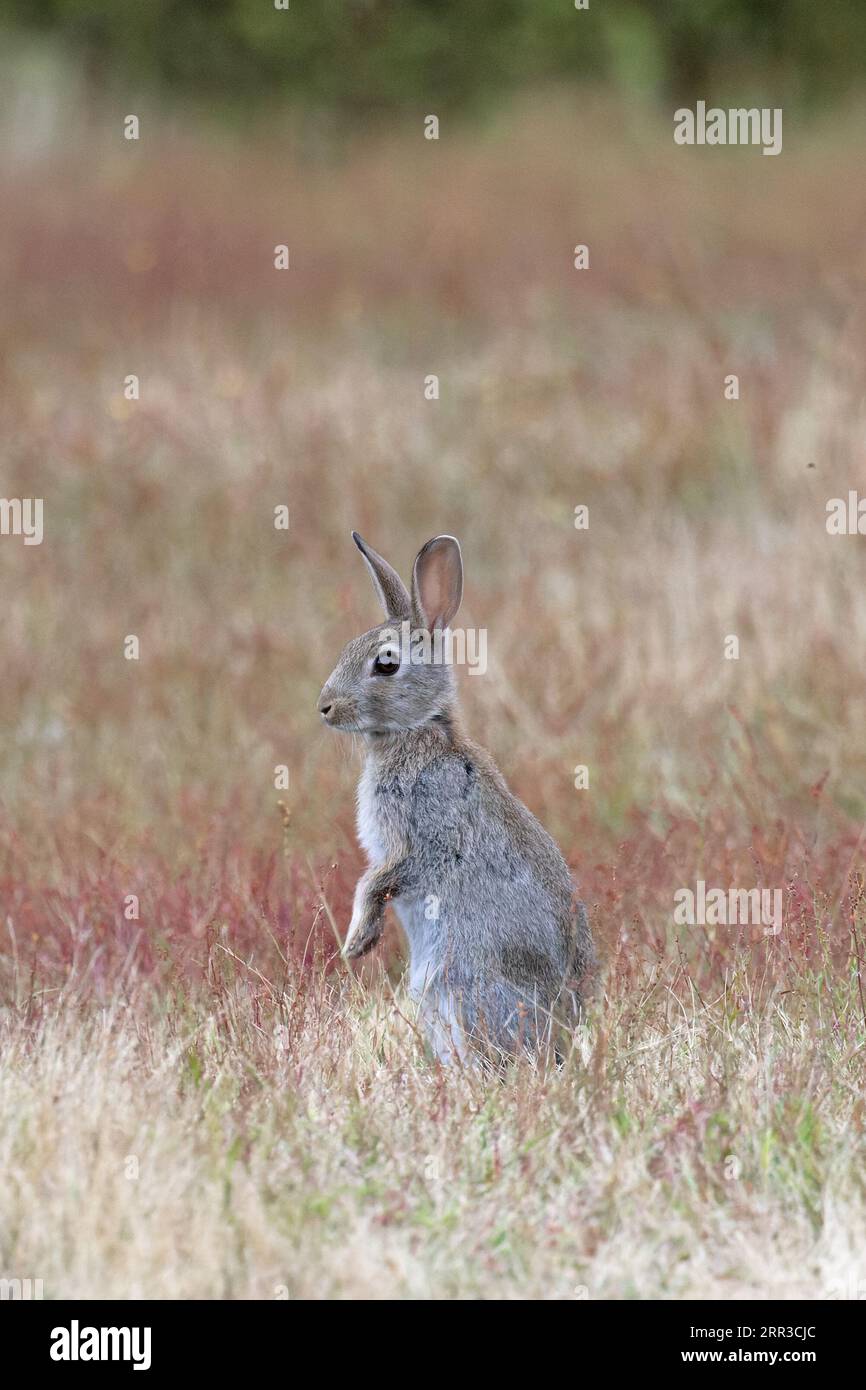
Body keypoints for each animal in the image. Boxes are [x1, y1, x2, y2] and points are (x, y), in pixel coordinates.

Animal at [317, 531, 594, 1064]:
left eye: (386, 663)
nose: (324, 707)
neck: (415, 731)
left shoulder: (427, 837)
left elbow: (378, 881)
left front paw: (357, 942)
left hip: (460, 987)